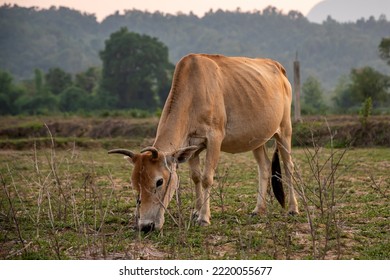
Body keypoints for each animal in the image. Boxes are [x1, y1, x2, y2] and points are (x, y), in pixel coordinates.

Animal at [109, 53, 298, 232]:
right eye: (135, 183)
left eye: (159, 181)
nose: (146, 226)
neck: (193, 93)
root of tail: (279, 68)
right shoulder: (192, 146)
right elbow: (196, 177)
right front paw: (196, 212)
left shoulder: (214, 138)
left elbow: (207, 178)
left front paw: (204, 218)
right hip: (257, 140)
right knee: (264, 167)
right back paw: (259, 209)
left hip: (284, 130)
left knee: (288, 166)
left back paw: (293, 208)